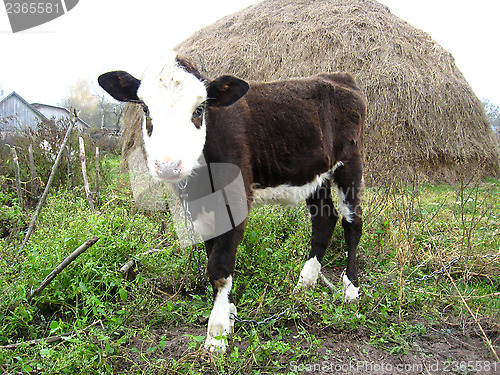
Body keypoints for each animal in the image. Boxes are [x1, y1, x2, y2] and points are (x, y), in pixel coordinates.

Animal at [97, 52, 366, 352]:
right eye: (145, 108)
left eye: (199, 109)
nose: (168, 165)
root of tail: (340, 76)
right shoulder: (200, 206)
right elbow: (212, 254)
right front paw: (230, 311)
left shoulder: (236, 199)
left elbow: (219, 265)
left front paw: (216, 334)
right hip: (315, 173)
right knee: (324, 220)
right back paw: (304, 284)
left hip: (350, 163)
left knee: (352, 223)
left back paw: (351, 289)